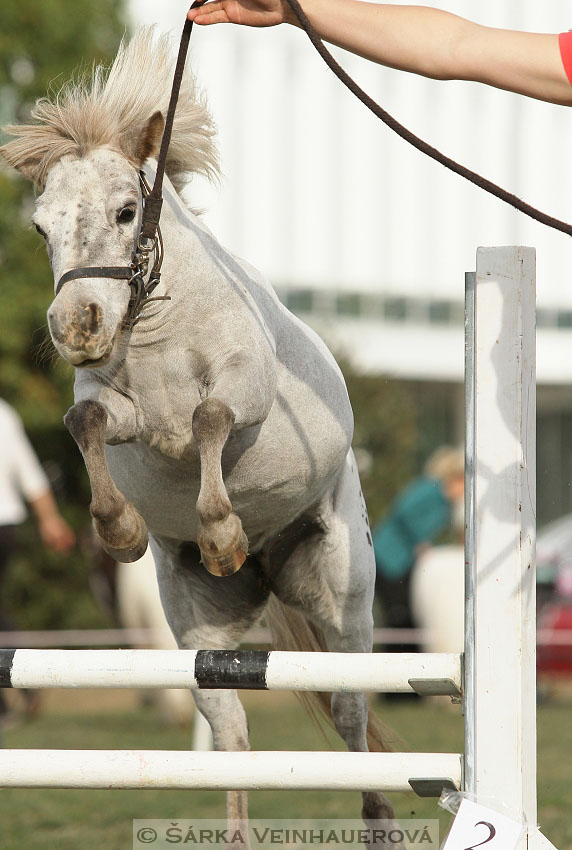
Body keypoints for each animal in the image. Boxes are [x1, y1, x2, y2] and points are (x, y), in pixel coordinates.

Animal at [0, 28, 394, 836]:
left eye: (127, 212)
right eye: (40, 227)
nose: (76, 327)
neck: (159, 322)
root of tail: (271, 569)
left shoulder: (244, 388)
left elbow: (210, 418)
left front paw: (219, 532)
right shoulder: (124, 411)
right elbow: (86, 419)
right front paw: (120, 530)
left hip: (345, 606)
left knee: (352, 717)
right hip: (199, 637)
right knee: (233, 736)